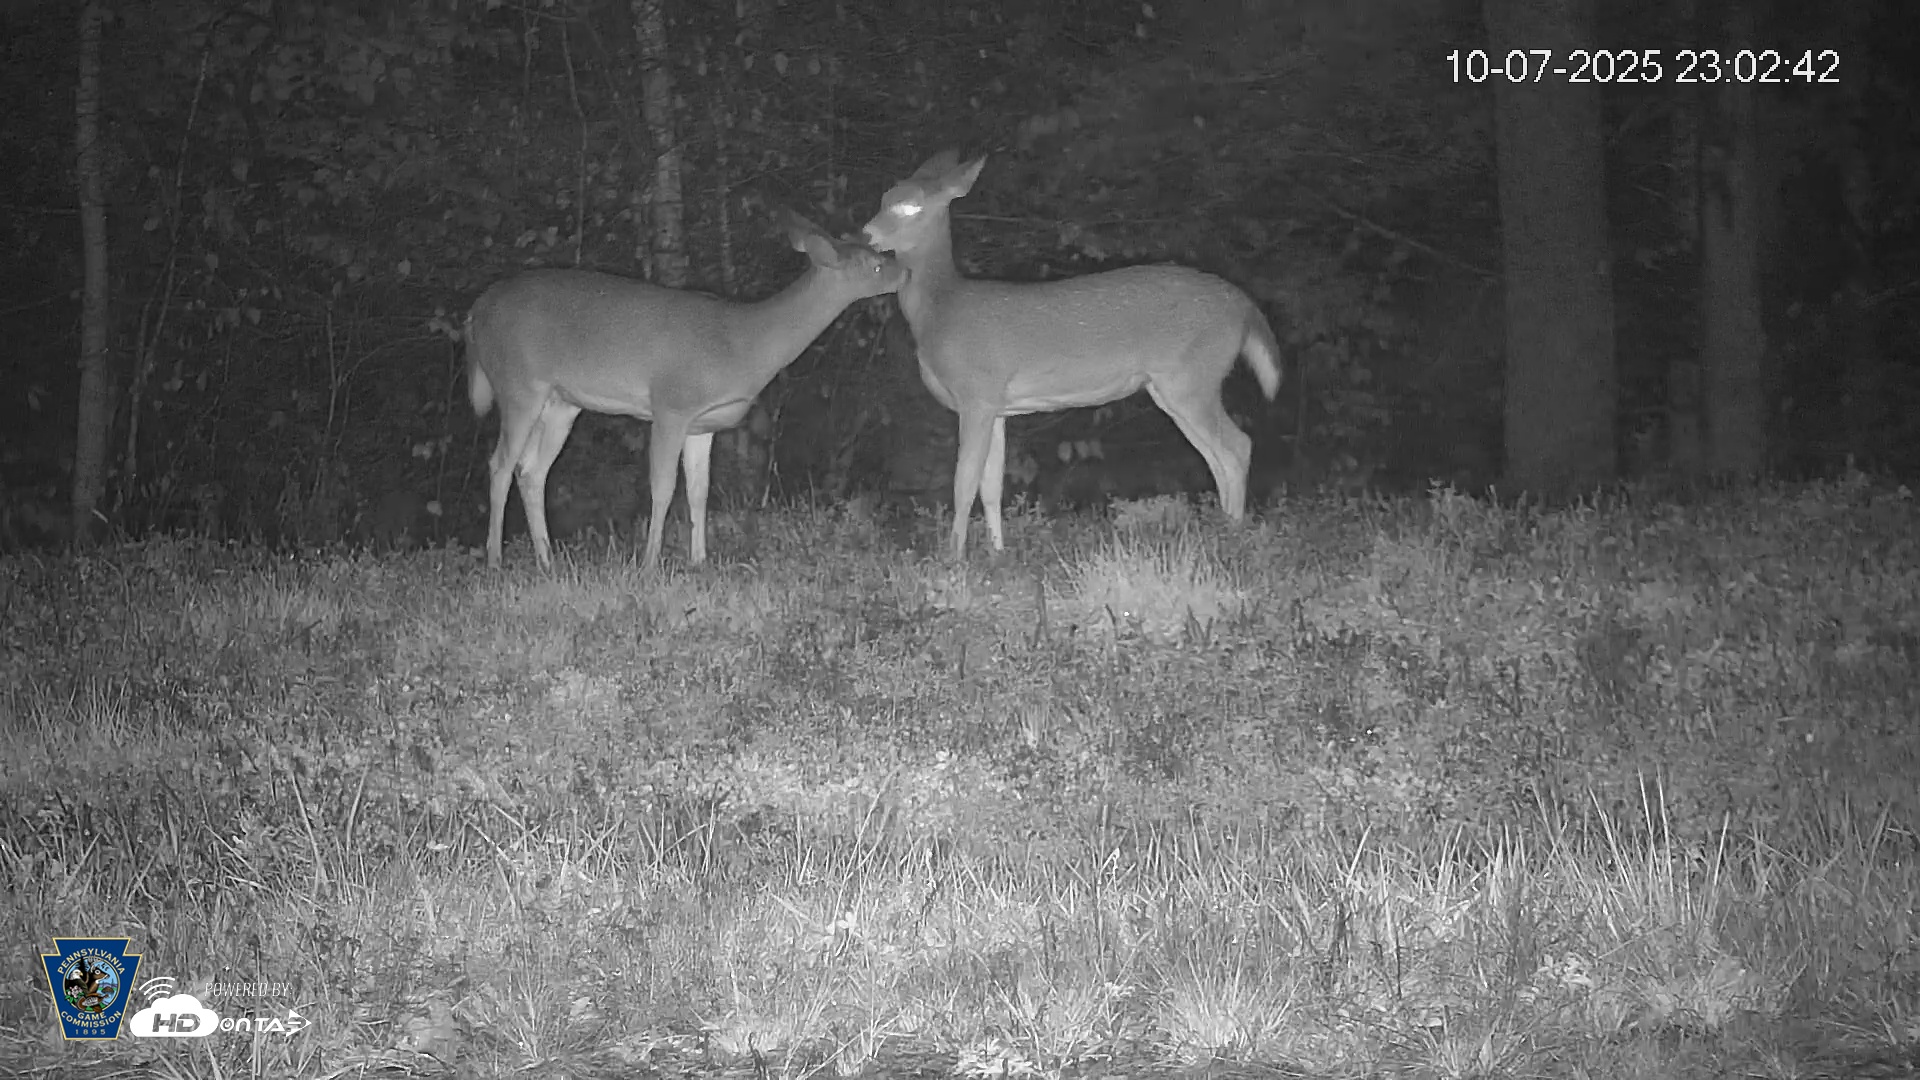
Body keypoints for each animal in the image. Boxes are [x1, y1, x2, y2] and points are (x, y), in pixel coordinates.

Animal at [465, 210, 905, 570]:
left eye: (876, 251)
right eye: (875, 264)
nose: (906, 272)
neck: (743, 346)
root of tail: (475, 312)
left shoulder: (702, 423)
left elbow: (699, 492)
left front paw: (699, 561)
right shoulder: (671, 404)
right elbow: (662, 488)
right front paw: (648, 566)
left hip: (561, 402)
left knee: (531, 470)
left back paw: (547, 561)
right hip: (518, 381)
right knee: (500, 464)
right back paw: (495, 561)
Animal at [862, 151, 1283, 561]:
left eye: (910, 207)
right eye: (884, 198)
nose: (867, 233)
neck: (939, 311)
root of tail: (1245, 307)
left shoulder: (976, 392)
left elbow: (963, 482)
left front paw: (953, 560)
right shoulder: (996, 406)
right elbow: (991, 485)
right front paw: (999, 554)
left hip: (1192, 376)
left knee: (1237, 447)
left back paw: (1234, 537)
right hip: (1174, 388)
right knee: (1216, 455)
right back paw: (1219, 533)